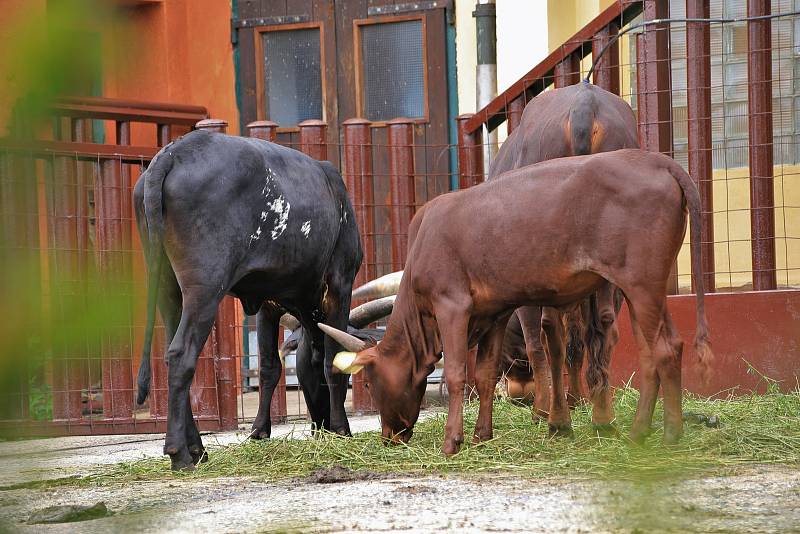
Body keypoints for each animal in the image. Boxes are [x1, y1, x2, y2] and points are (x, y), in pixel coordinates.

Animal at [135, 132, 362, 472]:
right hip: (205, 287)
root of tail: (174, 151)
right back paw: (180, 454)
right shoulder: (339, 284)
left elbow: (270, 367)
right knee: (180, 355)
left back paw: (197, 449)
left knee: (170, 353)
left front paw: (259, 430)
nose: (318, 426)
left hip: (166, 286)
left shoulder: (268, 304)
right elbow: (332, 362)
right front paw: (341, 429)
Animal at [324, 149, 712, 454]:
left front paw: (452, 442)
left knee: (665, 348)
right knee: (653, 354)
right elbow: (484, 375)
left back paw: (670, 434)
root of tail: (657, 161)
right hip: (639, 289)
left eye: (369, 383)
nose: (390, 437)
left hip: (642, 283)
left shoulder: (452, 305)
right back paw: (638, 432)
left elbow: (455, 373)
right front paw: (482, 435)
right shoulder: (494, 312)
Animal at [488, 82, 636, 436]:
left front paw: (542, 409)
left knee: (549, 330)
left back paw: (555, 418)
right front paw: (578, 399)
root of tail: (584, 105)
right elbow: (579, 338)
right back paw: (602, 415)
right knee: (603, 325)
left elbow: (537, 342)